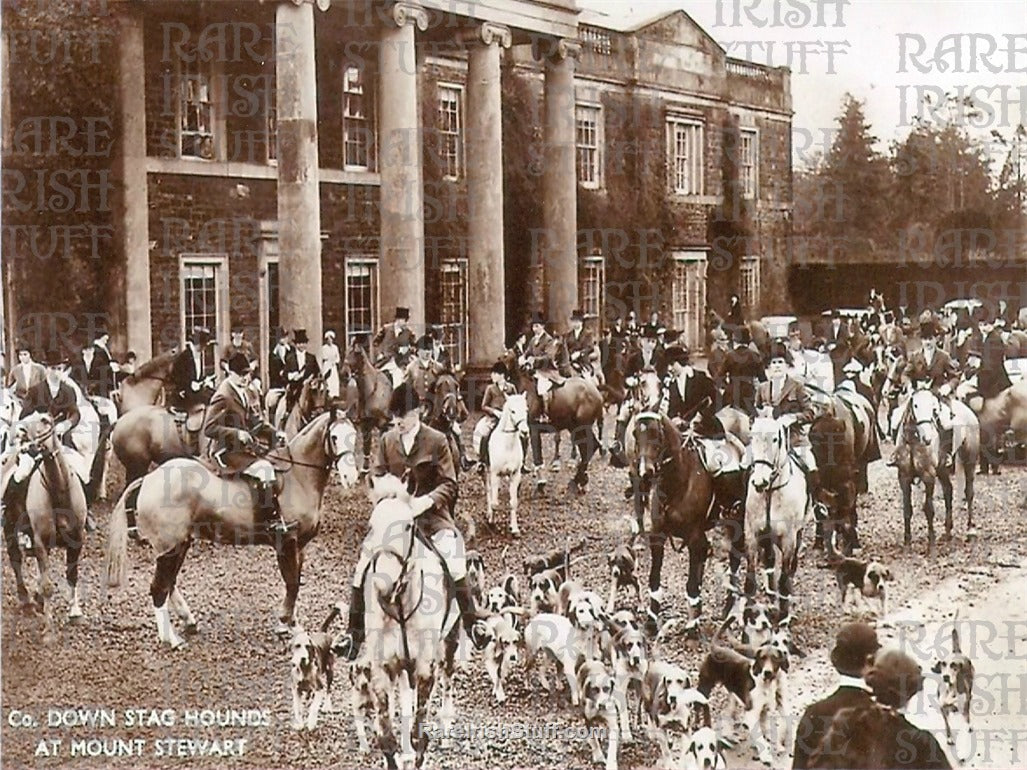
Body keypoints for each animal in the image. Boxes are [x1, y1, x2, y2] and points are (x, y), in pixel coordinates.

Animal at [2, 416, 87, 644]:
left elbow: (72, 575)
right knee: (16, 560)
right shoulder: (40, 541)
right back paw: (26, 600)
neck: (59, 490)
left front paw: (75, 612)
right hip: (10, 526)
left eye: (46, 421)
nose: (29, 446)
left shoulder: (77, 540)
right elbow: (49, 585)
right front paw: (49, 631)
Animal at [104, 406, 361, 648]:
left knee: (170, 583)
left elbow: (295, 582)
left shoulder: (300, 546)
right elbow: (292, 584)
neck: (298, 476)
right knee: (159, 588)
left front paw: (293, 624)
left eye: (354, 436)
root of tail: (149, 478)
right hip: (170, 546)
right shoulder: (286, 542)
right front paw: (284, 624)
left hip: (180, 543)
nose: (351, 477)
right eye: (334, 437)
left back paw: (188, 621)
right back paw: (171, 639)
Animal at [347, 476, 460, 770]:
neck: (398, 604)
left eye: (409, 525)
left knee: (447, 684)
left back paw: (445, 732)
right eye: (371, 525)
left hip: (449, 645)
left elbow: (420, 734)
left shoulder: (424, 667)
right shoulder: (382, 668)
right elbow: (386, 737)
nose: (383, 585)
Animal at [747, 410, 809, 628]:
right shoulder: (753, 534)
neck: (771, 491)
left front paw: (784, 615)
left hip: (798, 533)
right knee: (770, 562)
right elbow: (751, 576)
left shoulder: (789, 539)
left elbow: (784, 576)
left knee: (789, 568)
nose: (759, 482)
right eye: (751, 437)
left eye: (775, 439)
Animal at [895, 392, 981, 554]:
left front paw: (931, 546)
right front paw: (907, 544)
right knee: (948, 491)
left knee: (969, 492)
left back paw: (970, 529)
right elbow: (907, 509)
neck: (913, 441)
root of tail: (969, 411)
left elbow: (929, 509)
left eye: (933, 408)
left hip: (969, 462)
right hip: (942, 470)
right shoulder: (904, 478)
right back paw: (947, 532)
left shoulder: (928, 476)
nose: (927, 438)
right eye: (915, 405)